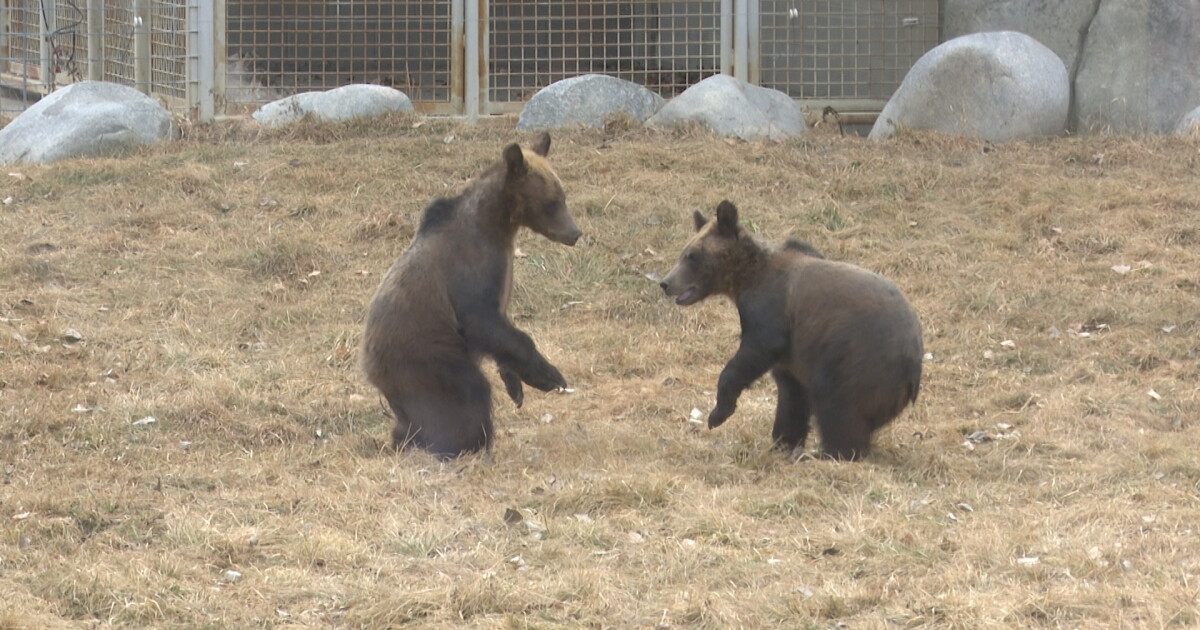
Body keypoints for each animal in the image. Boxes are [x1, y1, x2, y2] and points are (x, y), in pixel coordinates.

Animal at [361, 132, 581, 459]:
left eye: (563, 196)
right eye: (553, 201)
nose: (575, 233)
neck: (499, 226)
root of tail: (369, 367)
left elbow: (502, 331)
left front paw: (515, 385)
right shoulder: (468, 273)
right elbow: (484, 320)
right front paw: (550, 376)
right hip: (428, 356)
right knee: (464, 396)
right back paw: (463, 445)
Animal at [659, 200, 923, 460]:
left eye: (692, 255)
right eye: (684, 253)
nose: (665, 282)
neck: (746, 278)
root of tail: (913, 367)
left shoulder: (771, 311)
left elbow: (754, 351)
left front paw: (718, 414)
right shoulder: (794, 354)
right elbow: (791, 395)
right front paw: (783, 442)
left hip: (857, 361)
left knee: (838, 406)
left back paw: (831, 453)